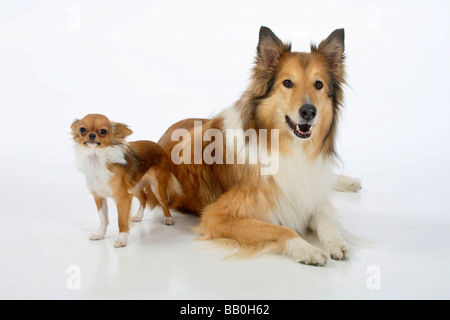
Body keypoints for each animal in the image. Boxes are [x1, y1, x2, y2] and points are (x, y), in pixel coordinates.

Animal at [71, 113, 182, 248]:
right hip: (133, 186)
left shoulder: (122, 198)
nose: (91, 135)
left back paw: (168, 218)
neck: (97, 159)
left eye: (103, 131)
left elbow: (121, 221)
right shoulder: (99, 196)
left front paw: (121, 240)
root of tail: (158, 146)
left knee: (163, 201)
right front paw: (100, 235)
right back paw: (139, 216)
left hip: (157, 186)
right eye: (82, 129)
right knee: (144, 197)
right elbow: (103, 219)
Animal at [156, 26, 360, 264]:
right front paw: (307, 249)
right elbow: (283, 230)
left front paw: (336, 242)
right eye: (287, 83)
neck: (287, 147)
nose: (309, 112)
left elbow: (325, 215)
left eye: (318, 84)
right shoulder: (218, 216)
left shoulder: (306, 190)